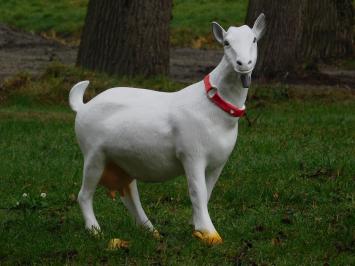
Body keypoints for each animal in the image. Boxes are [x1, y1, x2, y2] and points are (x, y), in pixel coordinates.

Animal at [69, 14, 268, 246]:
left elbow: (207, 193)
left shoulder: (218, 162)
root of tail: (82, 106)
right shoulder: (192, 155)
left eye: (254, 39)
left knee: (129, 193)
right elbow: (197, 192)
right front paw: (210, 234)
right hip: (94, 154)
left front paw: (196, 228)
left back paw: (150, 231)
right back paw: (95, 231)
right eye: (226, 43)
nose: (243, 64)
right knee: (84, 194)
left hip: (122, 160)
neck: (212, 106)